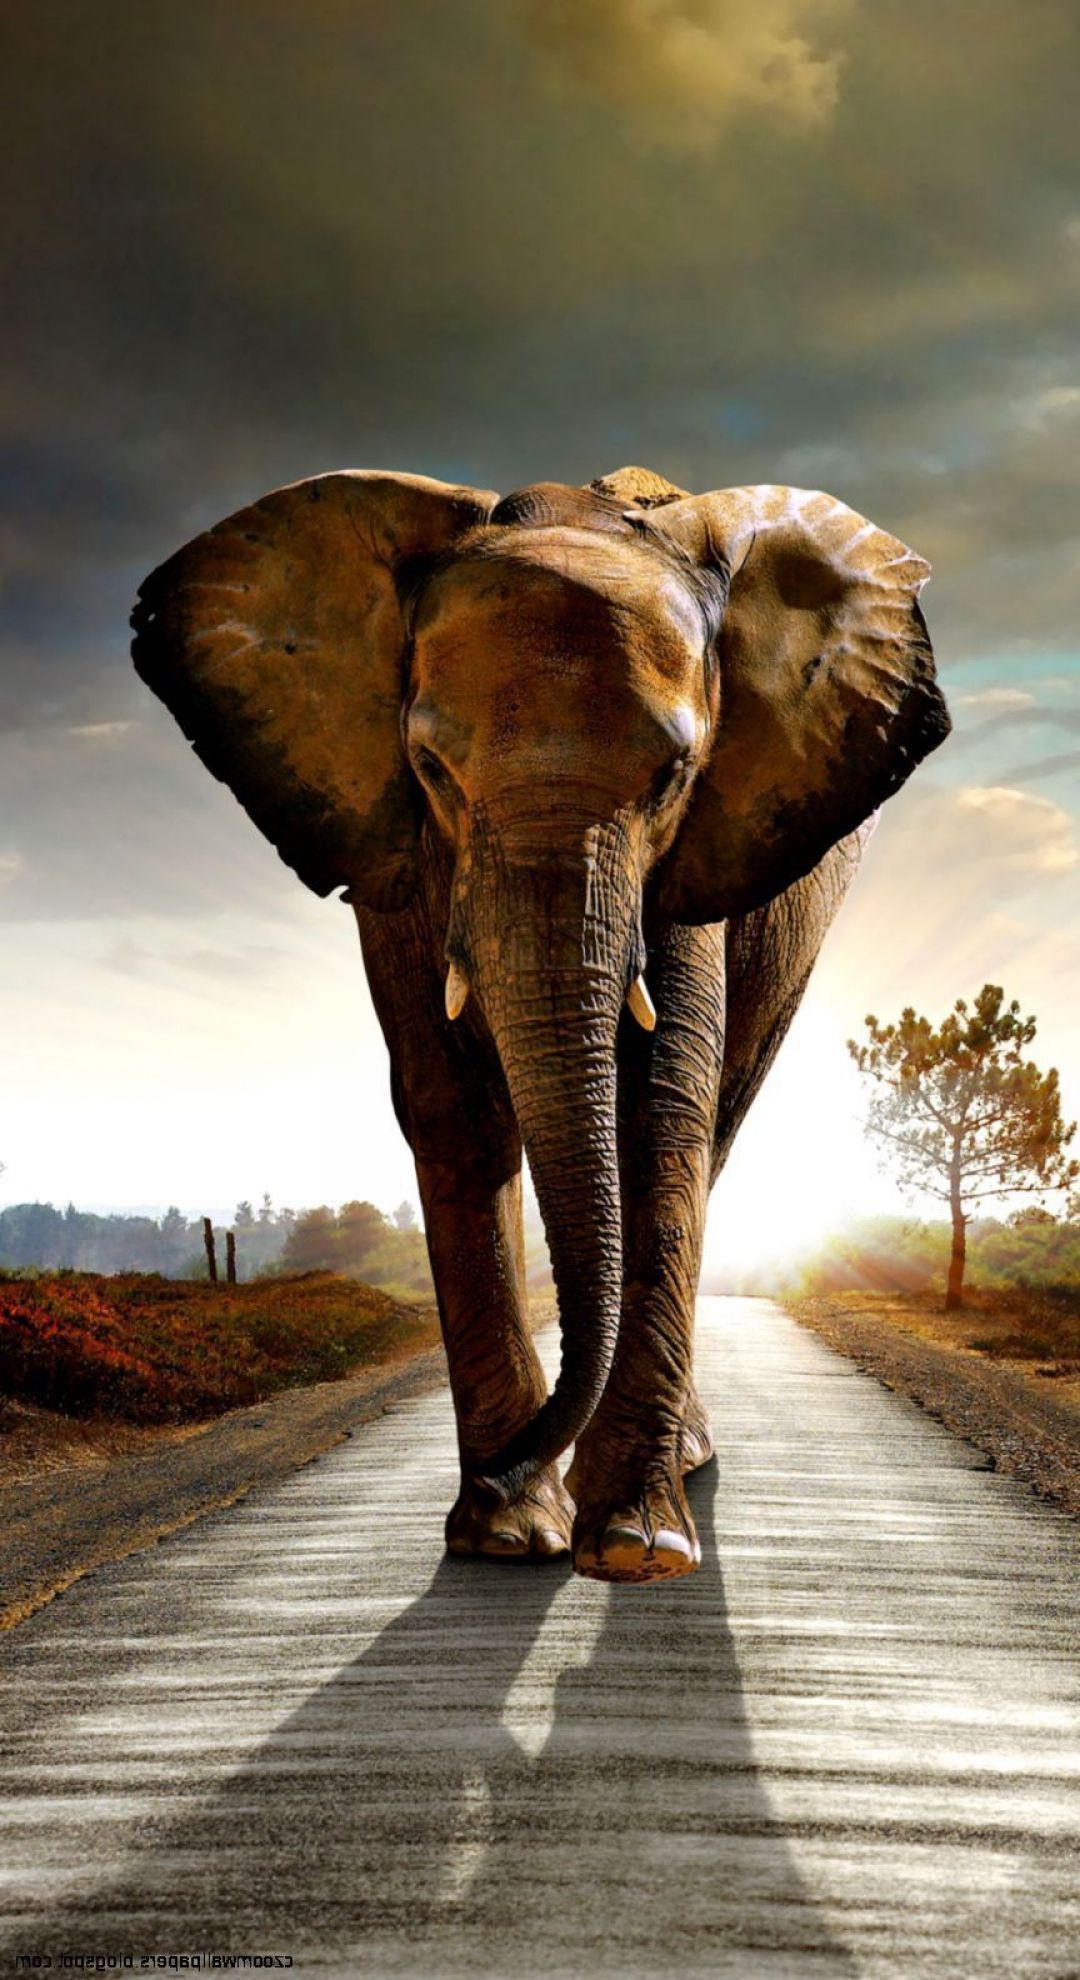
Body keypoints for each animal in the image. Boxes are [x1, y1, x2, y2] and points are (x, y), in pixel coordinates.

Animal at [132, 464, 949, 1583]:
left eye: (673, 776)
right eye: (431, 769)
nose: (505, 1470)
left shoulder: (694, 859)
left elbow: (660, 1110)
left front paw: (635, 1547)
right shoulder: (395, 853)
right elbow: (452, 1108)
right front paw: (507, 1537)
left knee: (718, 1125)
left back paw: (676, 1471)